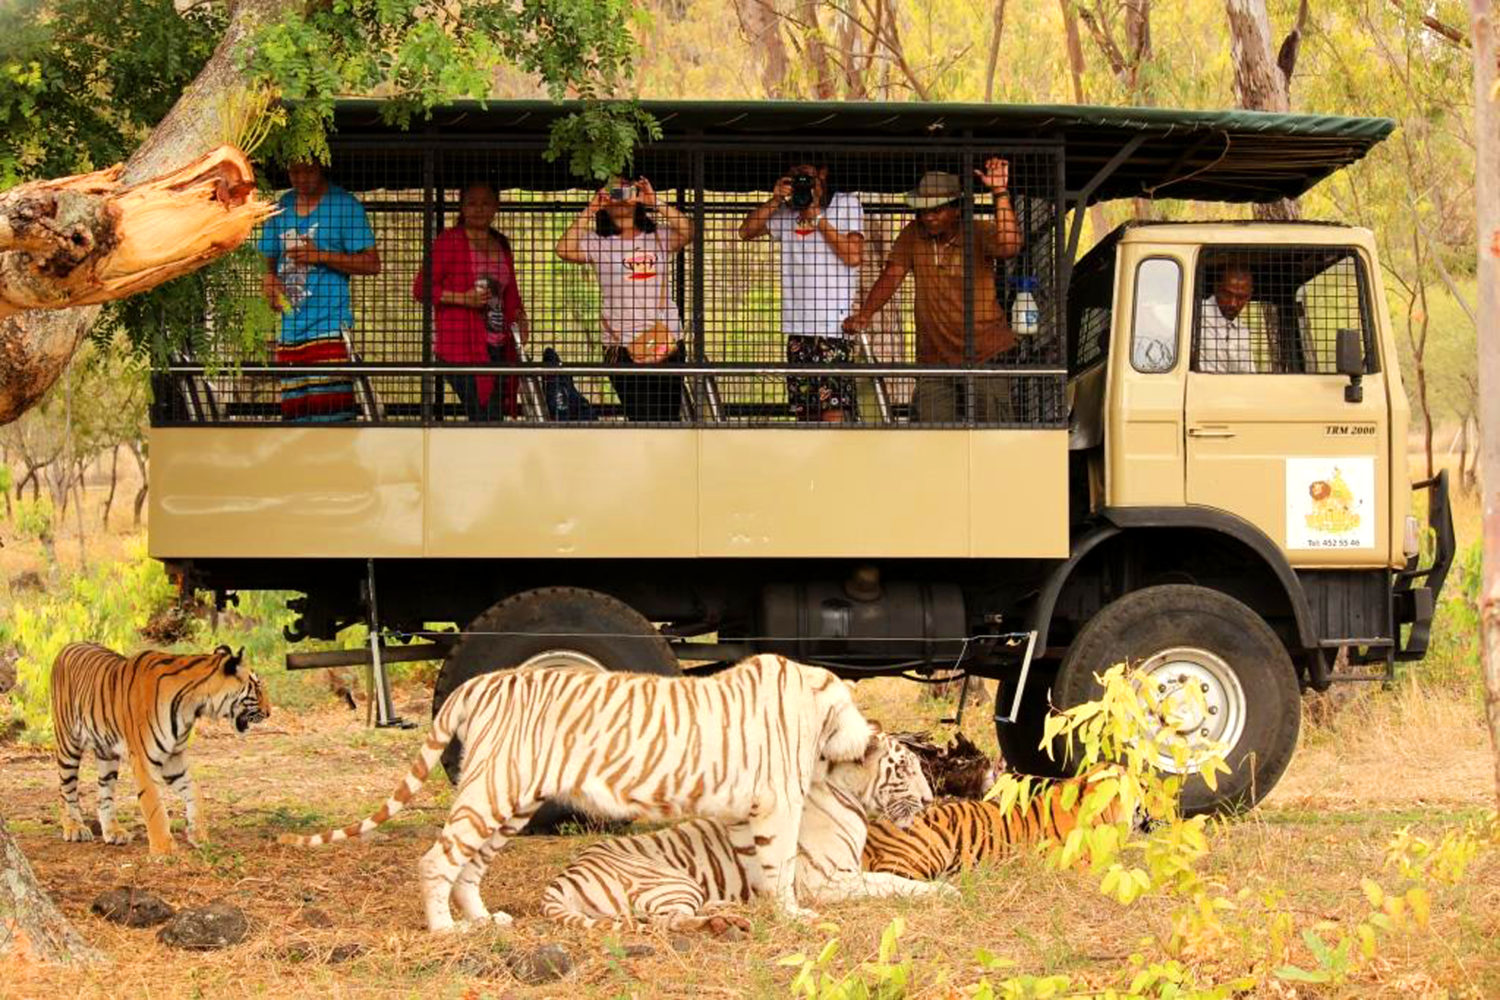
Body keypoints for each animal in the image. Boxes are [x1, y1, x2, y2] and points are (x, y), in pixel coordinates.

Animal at [280, 653, 870, 935]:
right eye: (853, 708)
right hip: (492, 793)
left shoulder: (747, 810)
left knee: (470, 867)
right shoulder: (778, 802)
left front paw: (763, 907)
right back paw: (445, 930)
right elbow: (781, 865)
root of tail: (483, 681)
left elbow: (756, 864)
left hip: (509, 804)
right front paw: (792, 915)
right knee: (437, 859)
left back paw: (483, 920)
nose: (868, 740)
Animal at [546, 731, 954, 935]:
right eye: (905, 769)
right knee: (669, 922)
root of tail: (564, 876)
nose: (929, 799)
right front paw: (944, 891)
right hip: (672, 882)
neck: (847, 793)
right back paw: (724, 921)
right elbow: (892, 883)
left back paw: (727, 908)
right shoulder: (828, 881)